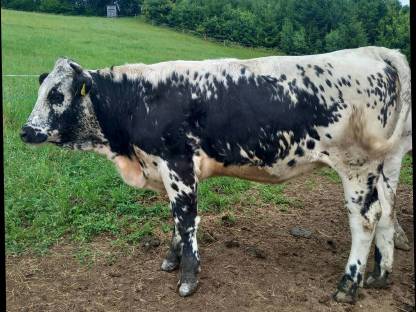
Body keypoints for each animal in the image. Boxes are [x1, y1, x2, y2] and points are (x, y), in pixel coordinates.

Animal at [21, 46, 412, 302]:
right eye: (41, 90)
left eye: (57, 95)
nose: (26, 131)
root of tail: (376, 52)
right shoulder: (168, 170)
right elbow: (175, 219)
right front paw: (171, 260)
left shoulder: (177, 163)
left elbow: (186, 219)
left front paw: (188, 278)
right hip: (386, 164)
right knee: (388, 211)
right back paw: (379, 276)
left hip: (357, 165)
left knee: (365, 219)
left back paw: (348, 286)